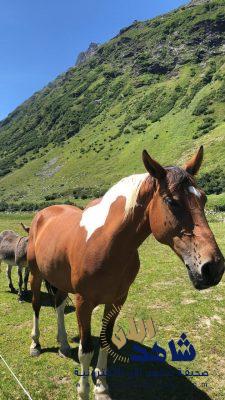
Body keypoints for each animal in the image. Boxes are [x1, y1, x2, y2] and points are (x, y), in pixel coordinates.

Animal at [27, 147, 224, 400]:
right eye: (171, 201)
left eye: (203, 198)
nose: (213, 267)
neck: (108, 243)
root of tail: (43, 214)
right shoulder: (83, 303)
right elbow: (85, 349)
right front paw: (83, 390)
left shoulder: (117, 301)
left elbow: (105, 341)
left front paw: (101, 387)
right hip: (35, 274)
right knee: (36, 305)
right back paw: (36, 345)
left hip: (58, 278)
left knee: (59, 305)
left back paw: (62, 346)